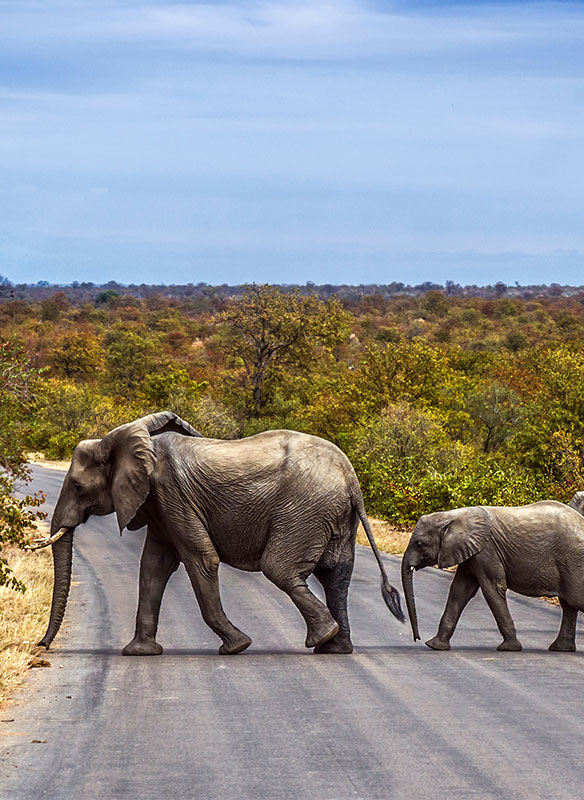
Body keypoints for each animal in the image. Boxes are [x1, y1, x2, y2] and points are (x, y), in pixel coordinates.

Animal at [34, 412, 404, 656]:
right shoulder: (160, 507)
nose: (42, 648)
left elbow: (201, 560)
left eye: (78, 487)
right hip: (334, 515)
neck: (123, 440)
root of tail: (350, 475)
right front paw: (139, 653)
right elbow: (153, 567)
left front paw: (237, 647)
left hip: (305, 509)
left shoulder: (171, 494)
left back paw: (321, 639)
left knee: (280, 569)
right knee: (335, 574)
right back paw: (335, 647)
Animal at [402, 504, 584, 652]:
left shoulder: (487, 551)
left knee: (574, 600)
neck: (453, 515)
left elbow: (493, 589)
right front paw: (434, 645)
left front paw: (509, 648)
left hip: (574, 562)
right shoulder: (471, 553)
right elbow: (459, 592)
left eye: (419, 544)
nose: (417, 638)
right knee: (568, 605)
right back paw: (560, 649)